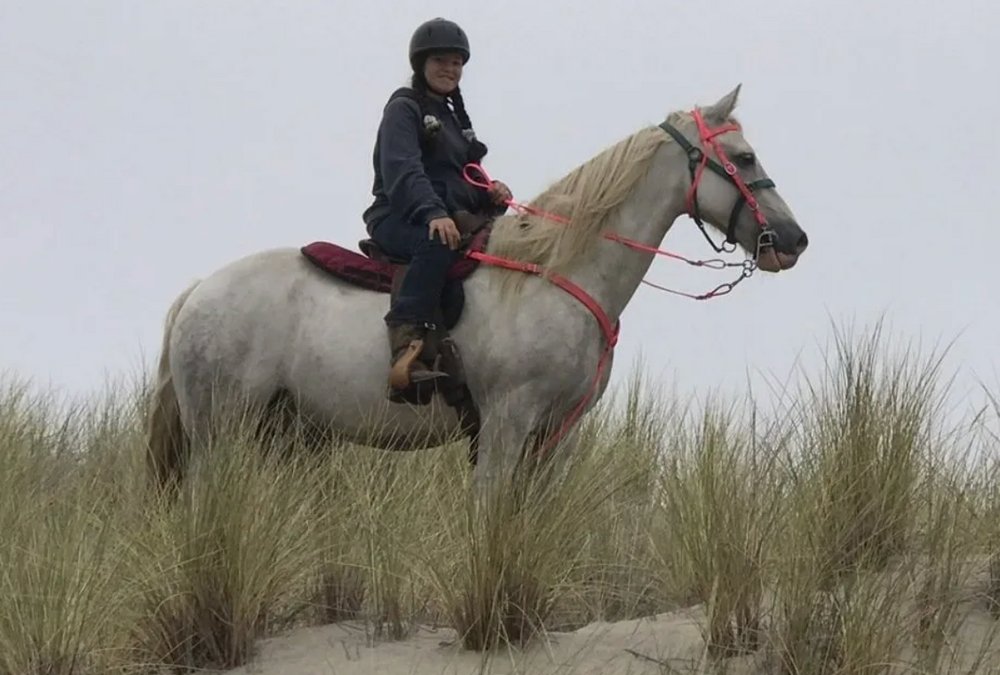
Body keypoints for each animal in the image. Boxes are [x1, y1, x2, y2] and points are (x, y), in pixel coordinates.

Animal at [144, 84, 809, 501]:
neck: (555, 277)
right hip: (220, 434)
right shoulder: (506, 425)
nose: (793, 240)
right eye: (745, 157)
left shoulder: (556, 436)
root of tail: (197, 293)